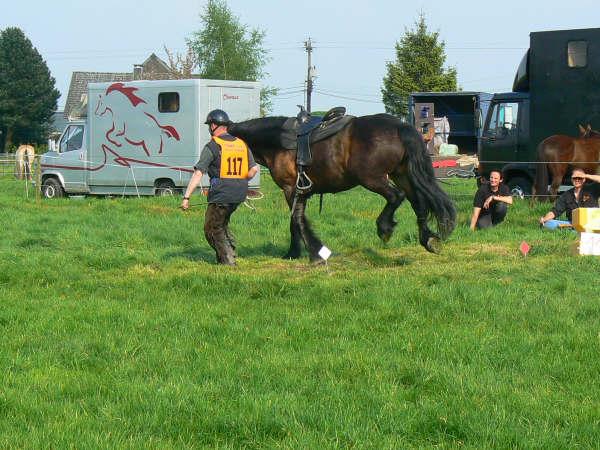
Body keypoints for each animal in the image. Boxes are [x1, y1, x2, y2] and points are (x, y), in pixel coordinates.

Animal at [229, 112, 454, 262]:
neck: (277, 142)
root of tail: (399, 126)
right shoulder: (300, 192)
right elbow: (297, 220)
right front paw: (298, 252)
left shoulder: (290, 189)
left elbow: (296, 220)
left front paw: (303, 253)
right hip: (401, 174)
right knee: (418, 203)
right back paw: (428, 239)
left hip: (372, 178)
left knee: (396, 197)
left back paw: (384, 228)